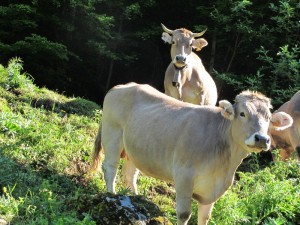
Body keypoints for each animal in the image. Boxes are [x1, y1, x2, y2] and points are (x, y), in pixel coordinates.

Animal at [92, 82, 292, 225]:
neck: (225, 164)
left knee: (129, 174)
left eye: (269, 119)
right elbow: (184, 214)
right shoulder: (184, 176)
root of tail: (122, 86)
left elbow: (205, 217)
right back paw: (112, 196)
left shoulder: (213, 189)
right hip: (112, 134)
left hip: (135, 147)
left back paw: (134, 198)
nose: (262, 138)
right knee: (110, 168)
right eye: (242, 113)